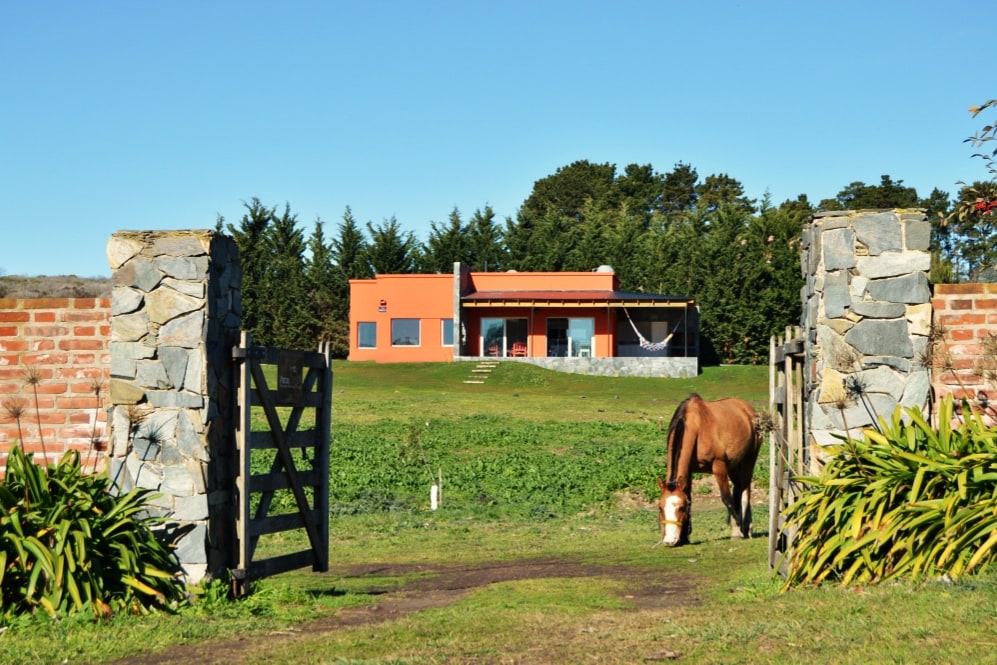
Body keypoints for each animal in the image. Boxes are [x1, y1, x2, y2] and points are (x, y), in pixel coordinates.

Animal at [656, 394, 760, 544]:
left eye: (681, 508)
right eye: (660, 507)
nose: (669, 540)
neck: (697, 427)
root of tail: (748, 408)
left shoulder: (719, 466)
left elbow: (726, 499)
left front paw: (736, 531)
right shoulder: (688, 471)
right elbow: (689, 497)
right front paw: (684, 538)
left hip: (749, 458)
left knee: (745, 490)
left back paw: (744, 528)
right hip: (734, 465)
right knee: (739, 488)